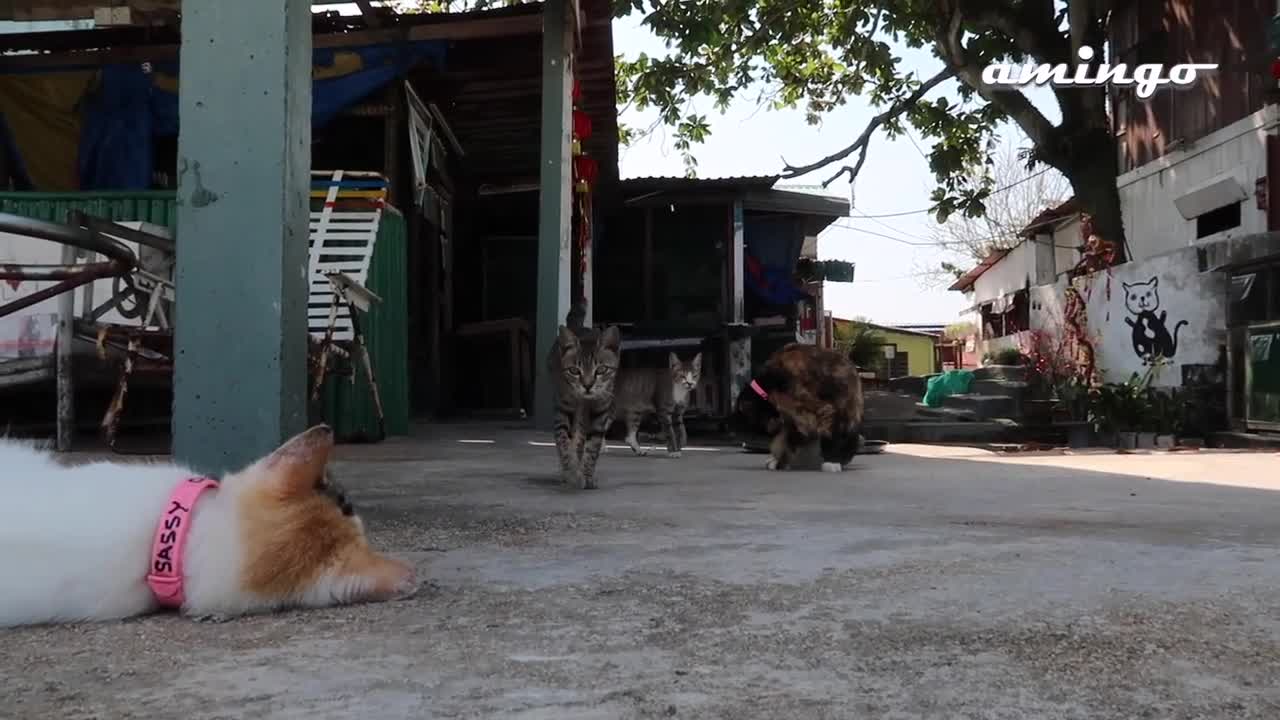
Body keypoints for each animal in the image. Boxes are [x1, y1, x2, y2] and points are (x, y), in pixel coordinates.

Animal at [545, 302, 619, 486]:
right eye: (574, 370)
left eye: (601, 369)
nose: (587, 385)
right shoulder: (562, 408)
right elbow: (563, 442)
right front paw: (569, 471)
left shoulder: (600, 410)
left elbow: (592, 447)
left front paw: (586, 475)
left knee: (580, 438)